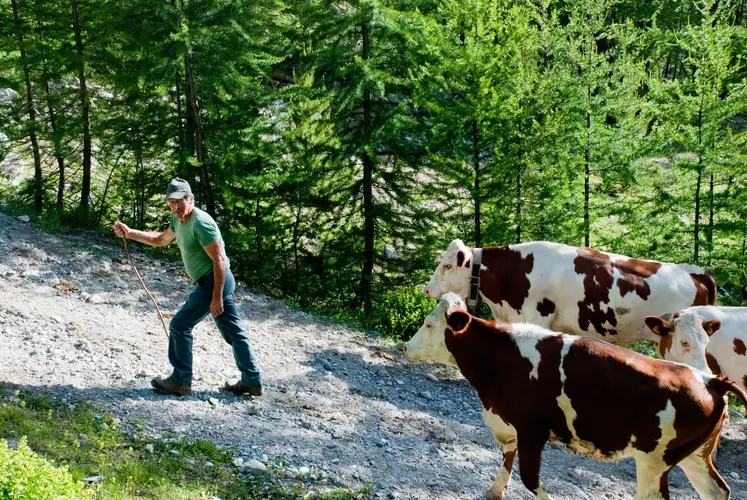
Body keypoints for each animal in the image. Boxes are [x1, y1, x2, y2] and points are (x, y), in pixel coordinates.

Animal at [404, 293, 746, 500]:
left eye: (429, 324)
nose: (407, 347)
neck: (501, 355)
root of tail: (711, 380)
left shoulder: (532, 431)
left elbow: (530, 479)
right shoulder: (509, 427)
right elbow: (506, 463)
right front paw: (494, 491)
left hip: (655, 460)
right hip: (693, 456)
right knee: (717, 491)